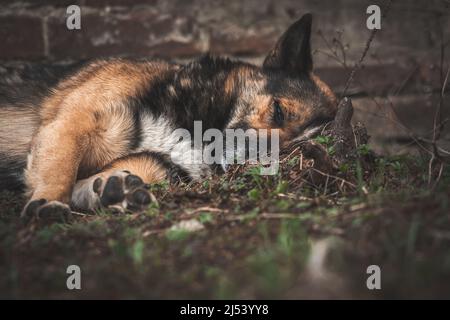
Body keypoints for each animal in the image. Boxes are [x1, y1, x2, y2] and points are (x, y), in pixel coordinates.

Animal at [0, 14, 336, 218]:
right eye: (278, 111)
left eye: (294, 152)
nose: (259, 163)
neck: (193, 130)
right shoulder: (73, 123)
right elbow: (61, 167)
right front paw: (50, 200)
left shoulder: (159, 163)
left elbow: (103, 176)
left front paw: (115, 191)